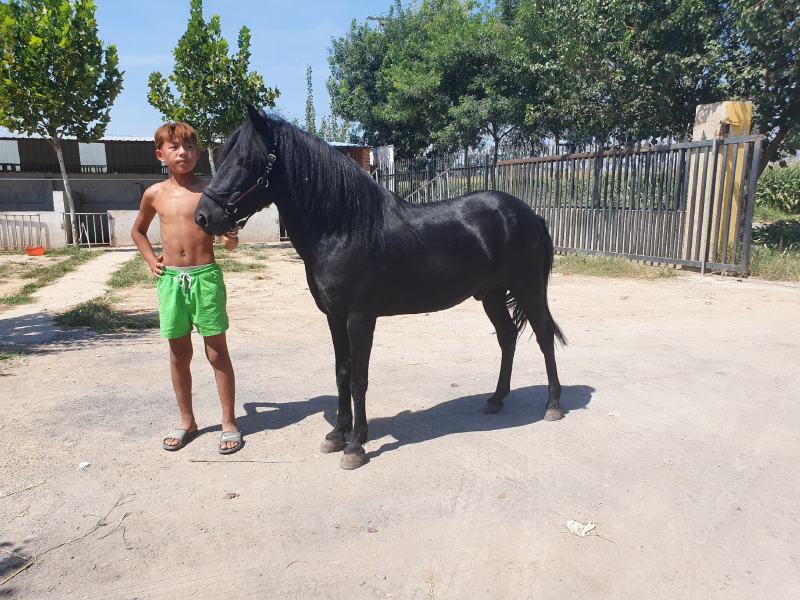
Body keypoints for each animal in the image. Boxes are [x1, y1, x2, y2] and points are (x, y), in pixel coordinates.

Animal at [196, 106, 566, 470]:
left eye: (245, 161)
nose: (202, 216)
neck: (344, 228)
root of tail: (529, 214)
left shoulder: (360, 319)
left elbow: (359, 378)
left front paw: (355, 446)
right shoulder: (334, 318)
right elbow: (341, 373)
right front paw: (337, 434)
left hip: (528, 289)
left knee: (543, 335)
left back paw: (552, 405)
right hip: (492, 294)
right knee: (507, 336)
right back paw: (496, 399)